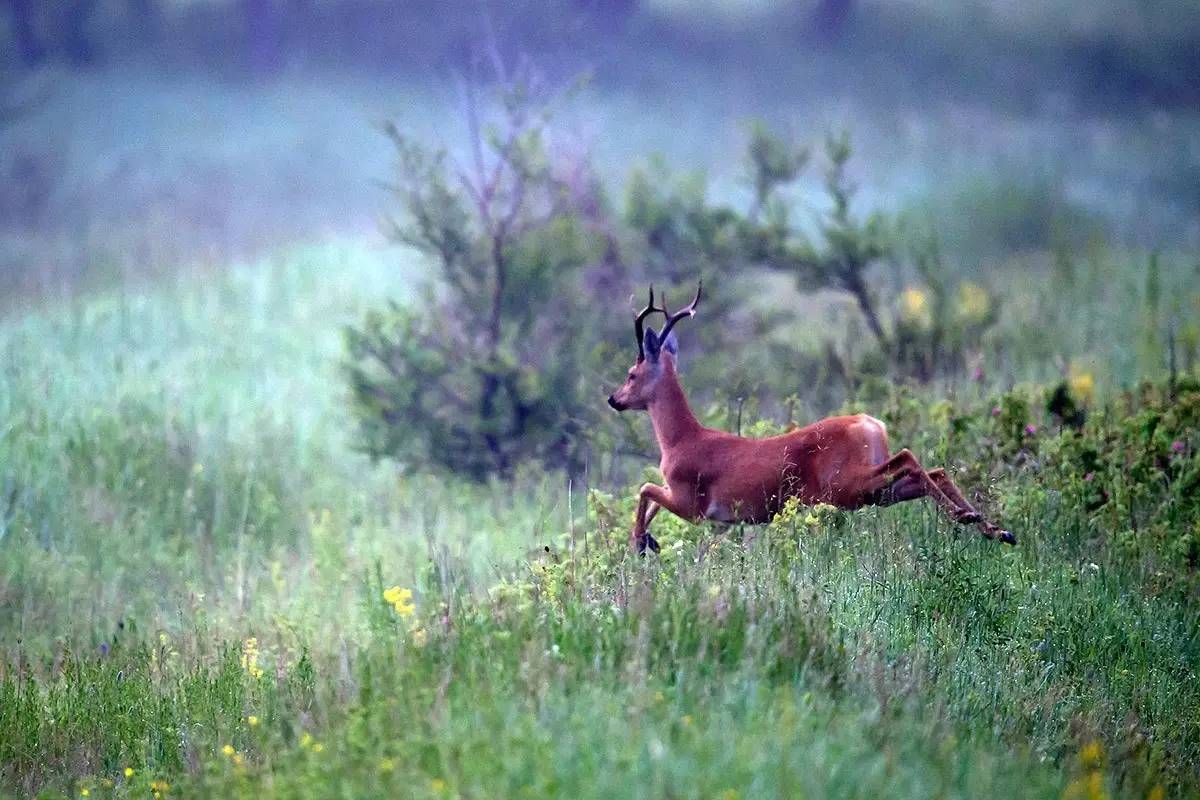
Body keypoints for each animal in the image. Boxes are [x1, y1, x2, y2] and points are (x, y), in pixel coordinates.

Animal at [609, 284, 1012, 554]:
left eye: (631, 373)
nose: (614, 399)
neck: (681, 440)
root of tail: (870, 423)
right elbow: (649, 497)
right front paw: (647, 539)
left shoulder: (692, 504)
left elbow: (645, 489)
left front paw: (642, 541)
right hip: (873, 492)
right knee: (935, 471)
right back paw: (992, 527)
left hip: (847, 485)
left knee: (911, 458)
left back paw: (971, 519)